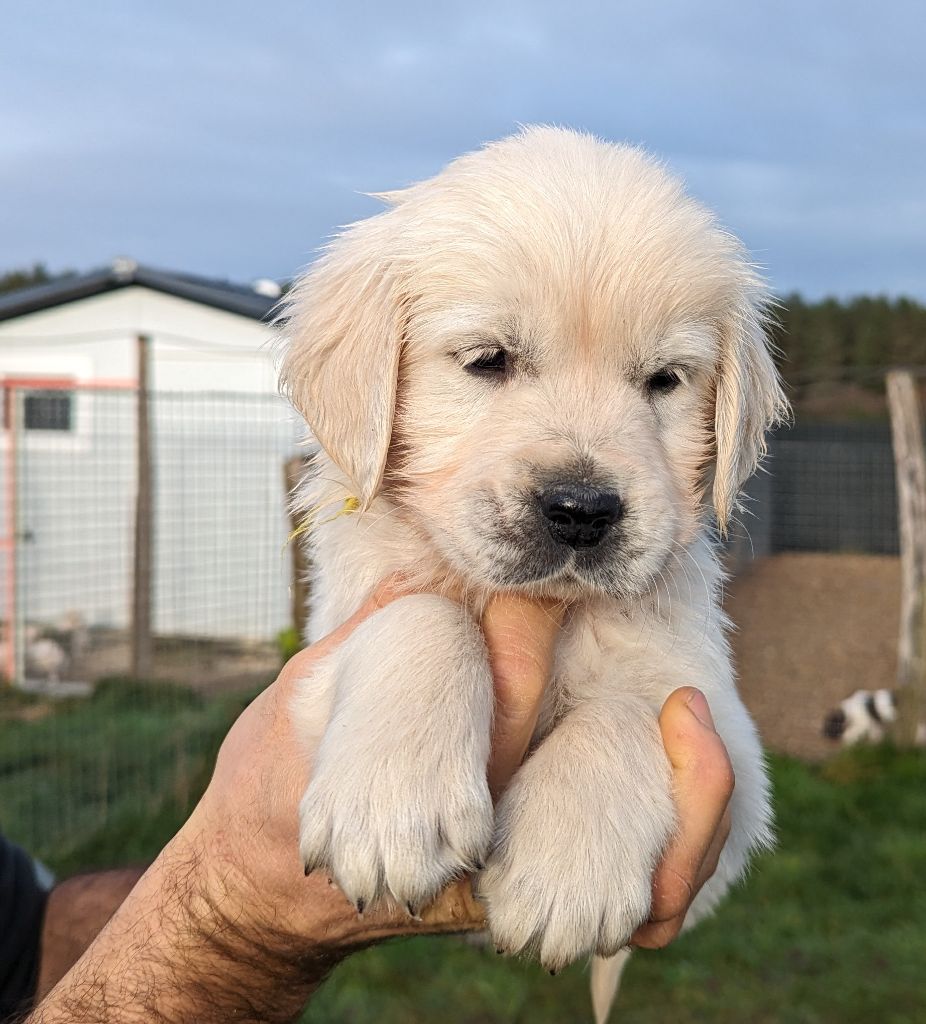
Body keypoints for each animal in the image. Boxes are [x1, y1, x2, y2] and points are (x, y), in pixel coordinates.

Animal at [279, 126, 785, 1009]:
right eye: (488, 360)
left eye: (664, 380)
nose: (582, 510)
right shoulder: (321, 647)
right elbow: (426, 612)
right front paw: (392, 805)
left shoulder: (733, 750)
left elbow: (632, 702)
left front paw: (565, 873)